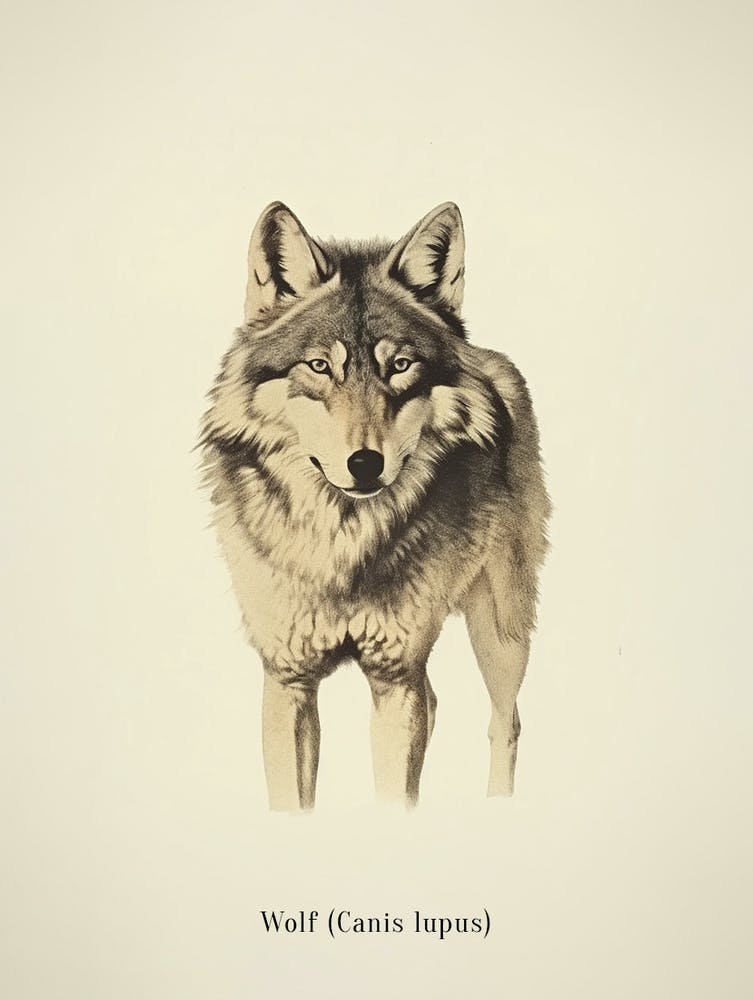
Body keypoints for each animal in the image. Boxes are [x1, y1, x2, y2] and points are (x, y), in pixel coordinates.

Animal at [199, 201, 550, 811]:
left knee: (506, 722)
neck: (342, 541)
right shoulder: (288, 678)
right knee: (437, 701)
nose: (365, 464)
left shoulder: (394, 674)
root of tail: (487, 357)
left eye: (400, 366)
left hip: (500, 632)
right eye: (320, 367)